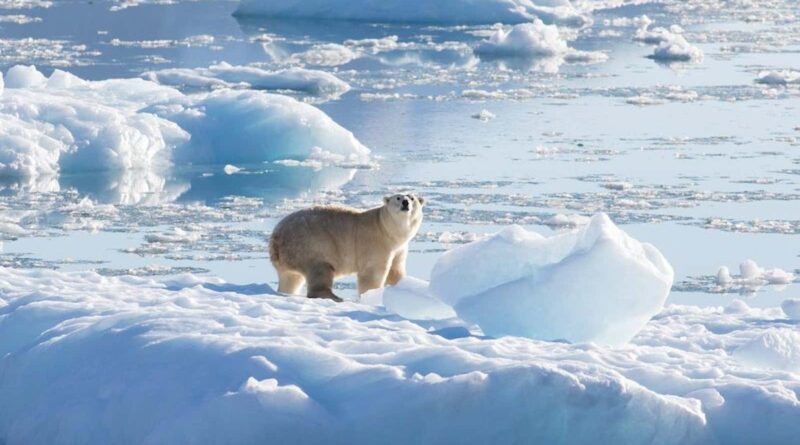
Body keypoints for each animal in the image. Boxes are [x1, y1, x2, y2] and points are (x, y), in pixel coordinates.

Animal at [270, 193, 424, 300]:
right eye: (398, 197)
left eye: (412, 198)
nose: (405, 202)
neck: (386, 228)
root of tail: (276, 237)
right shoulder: (375, 243)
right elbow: (372, 274)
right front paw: (371, 295)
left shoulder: (399, 248)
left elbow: (395, 271)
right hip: (311, 244)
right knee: (320, 269)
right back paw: (335, 297)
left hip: (291, 255)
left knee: (291, 278)